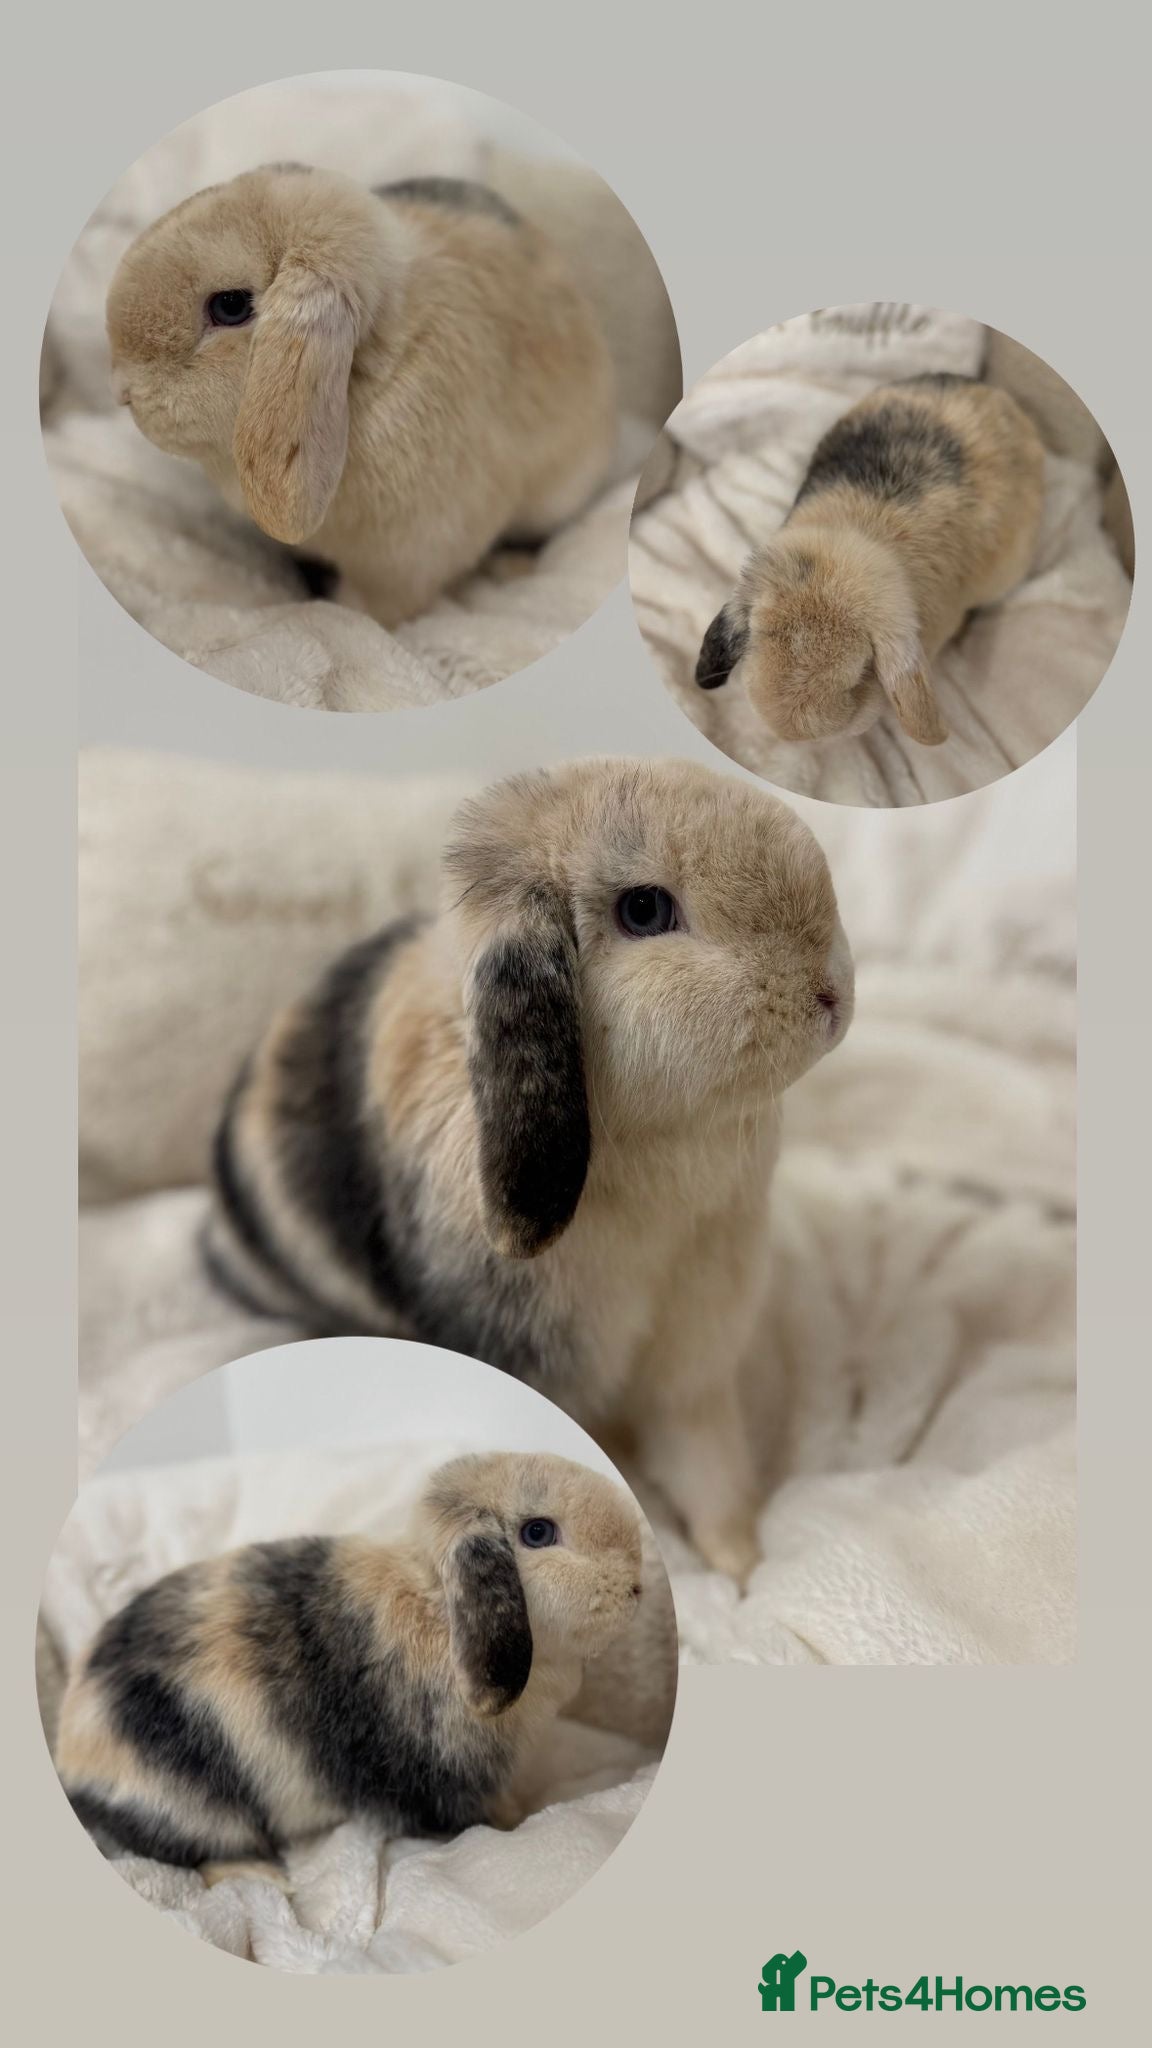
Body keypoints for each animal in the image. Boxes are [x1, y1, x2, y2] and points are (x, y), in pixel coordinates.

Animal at [55, 1452, 643, 1870]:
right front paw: (517, 1820)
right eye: (538, 1532)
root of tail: (70, 1756)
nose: (638, 1588)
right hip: (199, 1815)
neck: (437, 1608)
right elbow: (478, 1818)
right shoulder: (448, 1784)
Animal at [105, 165, 617, 627]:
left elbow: (371, 609)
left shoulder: (409, 560)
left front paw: (338, 609)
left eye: (229, 306)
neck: (365, 376)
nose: (124, 392)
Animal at [202, 757, 855, 1581]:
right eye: (644, 910)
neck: (656, 1157)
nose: (830, 995)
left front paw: (740, 1566)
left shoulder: (693, 1362)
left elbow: (711, 1468)